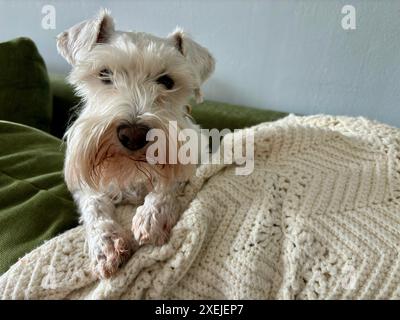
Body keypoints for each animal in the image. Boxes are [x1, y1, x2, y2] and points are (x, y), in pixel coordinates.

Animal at [56, 9, 214, 278]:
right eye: (104, 73)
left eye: (167, 81)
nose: (133, 135)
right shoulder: (83, 185)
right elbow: (94, 204)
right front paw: (106, 244)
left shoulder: (192, 158)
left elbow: (169, 182)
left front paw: (152, 217)